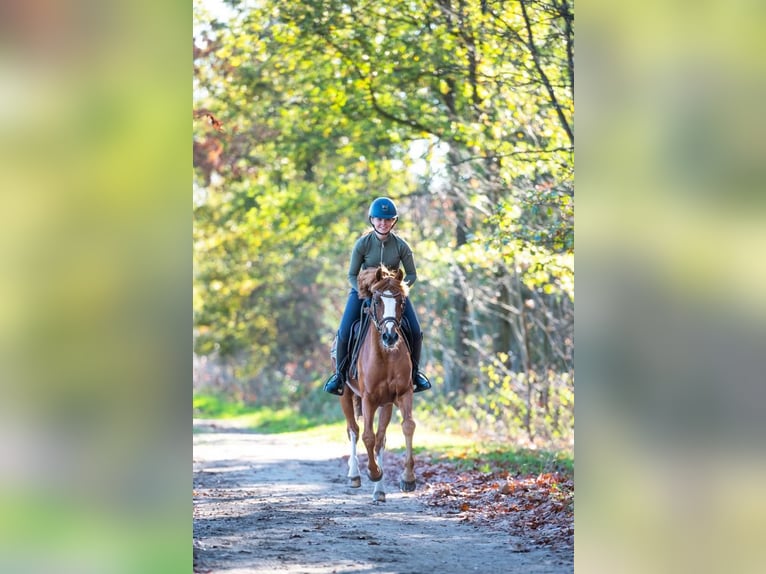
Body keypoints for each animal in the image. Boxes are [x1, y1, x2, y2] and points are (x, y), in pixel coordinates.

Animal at [338, 266, 416, 504]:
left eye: (401, 301)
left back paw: (379, 491)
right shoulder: (369, 398)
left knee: (380, 439)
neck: (385, 355)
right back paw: (354, 475)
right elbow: (367, 436)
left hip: (385, 404)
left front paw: (407, 478)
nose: (390, 337)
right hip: (346, 395)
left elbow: (406, 427)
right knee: (353, 430)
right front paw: (373, 472)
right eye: (376, 301)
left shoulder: (402, 394)